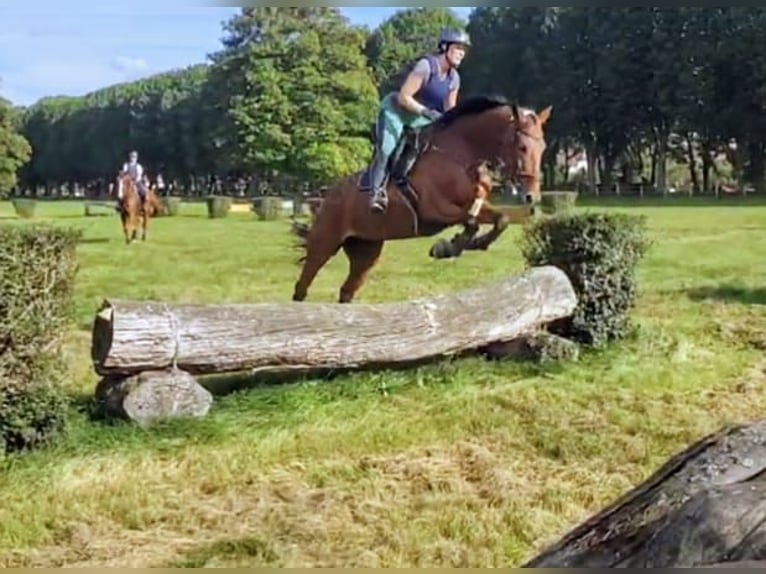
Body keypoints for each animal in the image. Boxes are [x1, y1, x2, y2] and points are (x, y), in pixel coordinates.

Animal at [292, 94, 548, 304]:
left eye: (543, 147)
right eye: (522, 147)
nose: (531, 195)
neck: (459, 155)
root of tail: (327, 197)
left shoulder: (476, 204)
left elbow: (499, 219)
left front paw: (469, 244)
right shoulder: (435, 211)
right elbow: (471, 222)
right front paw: (447, 247)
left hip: (366, 250)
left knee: (347, 290)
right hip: (324, 243)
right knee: (302, 285)